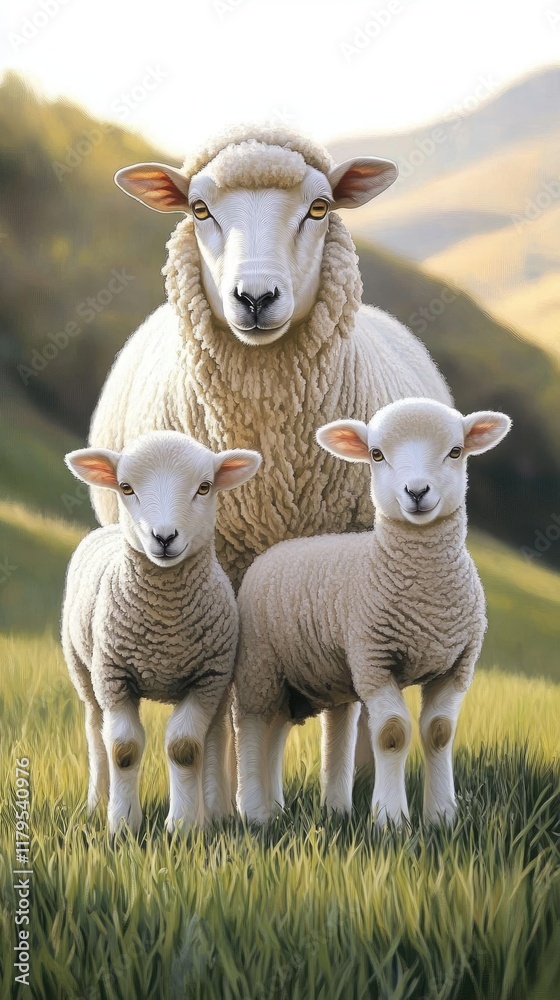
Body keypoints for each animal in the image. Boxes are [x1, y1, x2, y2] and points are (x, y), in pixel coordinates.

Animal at [61, 430, 262, 835]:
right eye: (126, 487)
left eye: (204, 487)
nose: (165, 537)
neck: (165, 627)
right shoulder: (113, 676)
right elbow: (123, 749)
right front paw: (122, 825)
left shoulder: (207, 678)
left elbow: (184, 748)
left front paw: (184, 826)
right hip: (84, 671)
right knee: (95, 730)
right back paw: (97, 803)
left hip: (218, 685)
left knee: (214, 736)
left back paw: (214, 811)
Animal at [88, 124, 452, 783]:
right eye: (199, 208)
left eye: (320, 207)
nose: (255, 297)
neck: (269, 457)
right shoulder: (225, 576)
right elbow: (229, 705)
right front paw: (225, 794)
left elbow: (347, 699)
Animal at [233, 399, 511, 826]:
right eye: (377, 455)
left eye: (456, 451)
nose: (417, 492)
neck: (426, 595)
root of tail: (274, 550)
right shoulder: (374, 660)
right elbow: (392, 733)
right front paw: (391, 820)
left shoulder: (457, 666)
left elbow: (440, 732)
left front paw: (442, 817)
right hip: (257, 665)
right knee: (250, 726)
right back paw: (253, 813)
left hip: (297, 676)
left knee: (276, 731)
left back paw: (282, 809)